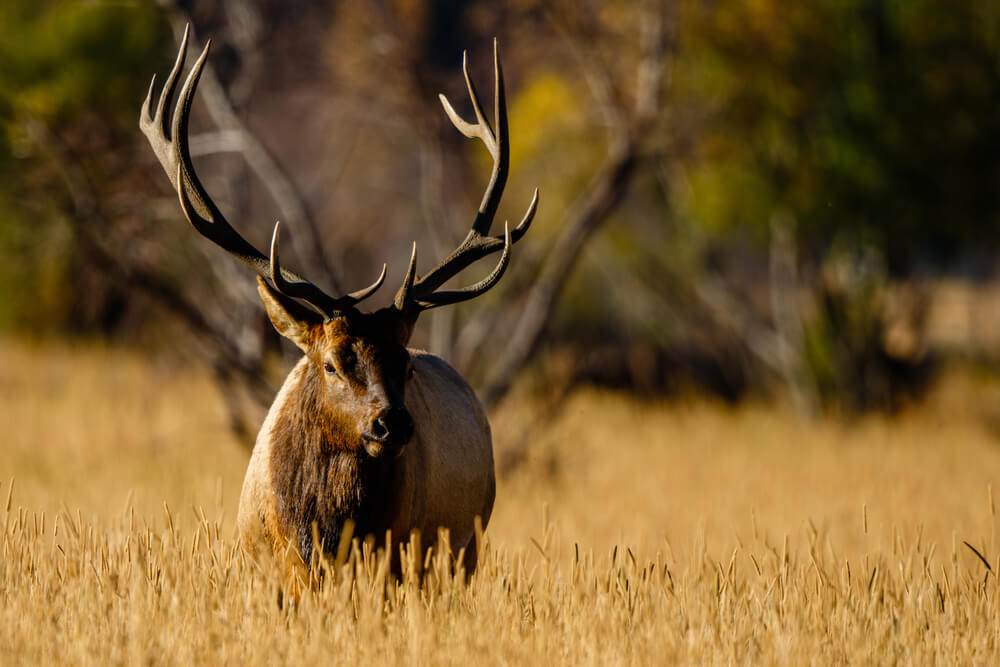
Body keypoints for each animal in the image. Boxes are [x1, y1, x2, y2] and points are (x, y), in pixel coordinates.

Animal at [140, 27, 538, 578]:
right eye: (331, 363)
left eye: (406, 366)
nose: (392, 423)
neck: (319, 535)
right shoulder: (265, 567)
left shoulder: (394, 561)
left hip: (462, 552)